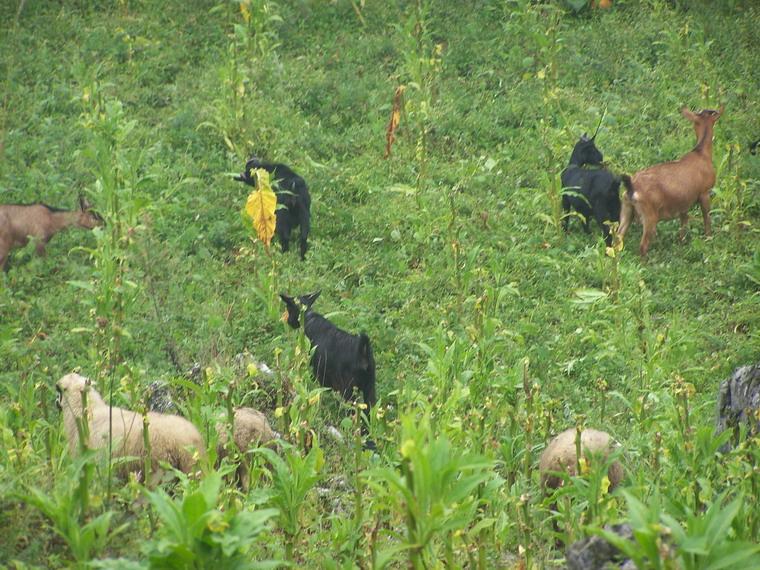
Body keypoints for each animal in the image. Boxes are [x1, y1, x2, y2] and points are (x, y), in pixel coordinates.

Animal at [616, 106, 724, 255]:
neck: (701, 153)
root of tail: (632, 188)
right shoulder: (704, 192)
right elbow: (706, 217)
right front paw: (709, 238)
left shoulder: (684, 201)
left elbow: (684, 221)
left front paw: (682, 242)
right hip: (649, 216)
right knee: (643, 245)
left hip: (627, 209)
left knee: (618, 237)